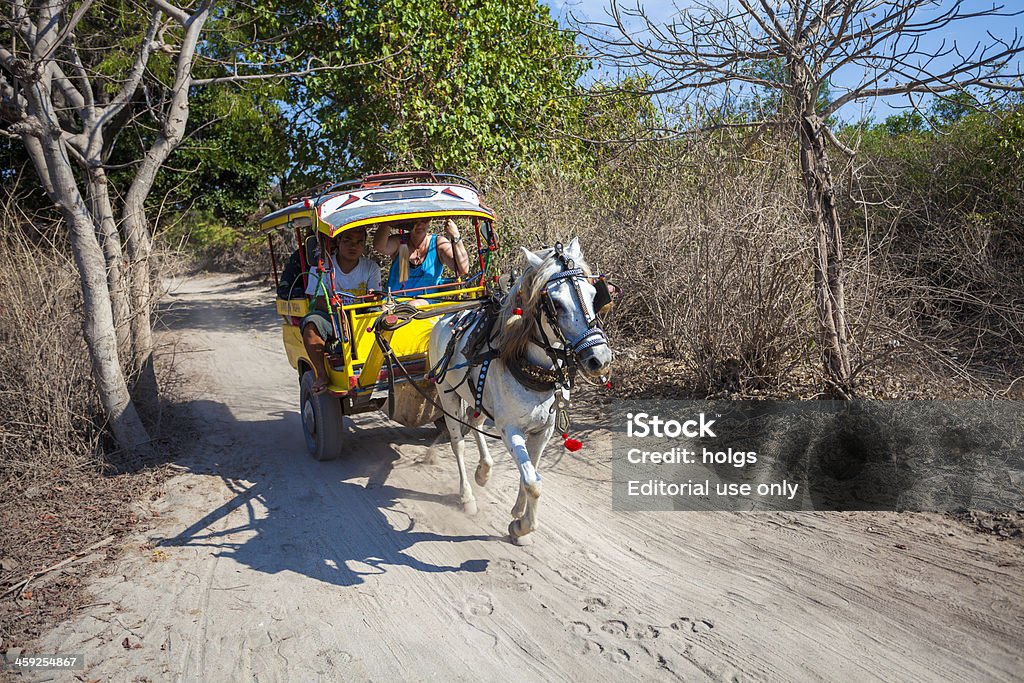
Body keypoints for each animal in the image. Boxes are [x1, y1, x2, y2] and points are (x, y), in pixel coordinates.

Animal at [425, 239, 610, 544]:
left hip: (478, 397)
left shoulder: (544, 429)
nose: (600, 359)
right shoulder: (510, 428)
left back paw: (484, 470)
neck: (532, 367)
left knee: (475, 422)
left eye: (594, 294)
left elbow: (531, 470)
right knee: (457, 442)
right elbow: (533, 481)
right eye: (555, 303)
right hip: (447, 394)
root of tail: (447, 314)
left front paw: (518, 513)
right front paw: (522, 526)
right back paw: (467, 496)